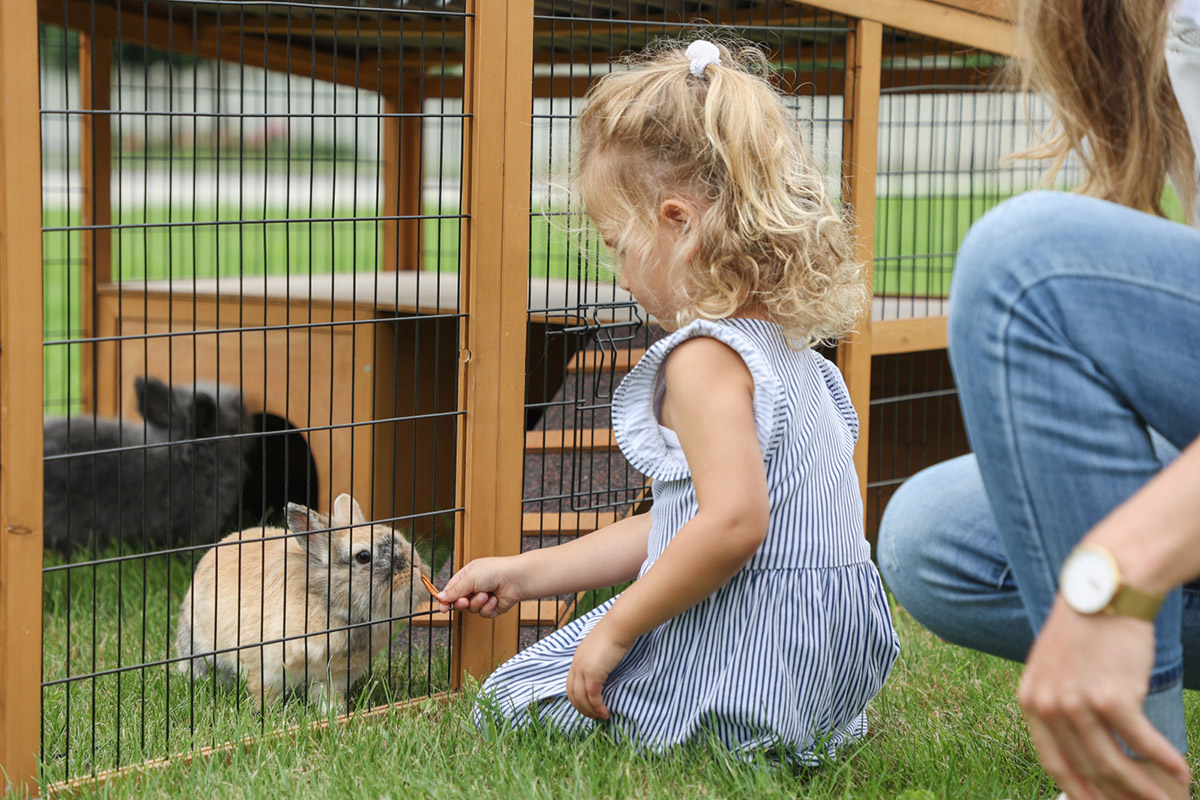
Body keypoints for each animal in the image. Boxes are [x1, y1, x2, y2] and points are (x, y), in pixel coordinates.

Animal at [175, 494, 434, 714]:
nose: (416, 567)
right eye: (363, 557)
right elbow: (264, 693)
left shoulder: (332, 676)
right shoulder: (266, 670)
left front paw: (334, 714)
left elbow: (327, 697)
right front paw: (268, 715)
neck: (327, 602)